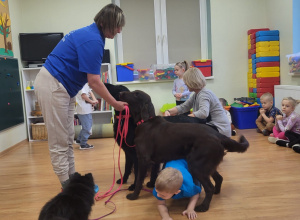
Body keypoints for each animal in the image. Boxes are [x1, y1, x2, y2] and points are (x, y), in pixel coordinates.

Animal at [118, 90, 250, 212]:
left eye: (136, 94)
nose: (120, 93)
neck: (145, 121)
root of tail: (217, 135)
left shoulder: (143, 159)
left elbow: (139, 180)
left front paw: (134, 195)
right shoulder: (154, 160)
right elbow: (153, 174)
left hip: (197, 165)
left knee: (209, 187)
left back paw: (204, 206)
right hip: (206, 165)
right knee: (219, 178)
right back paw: (216, 193)